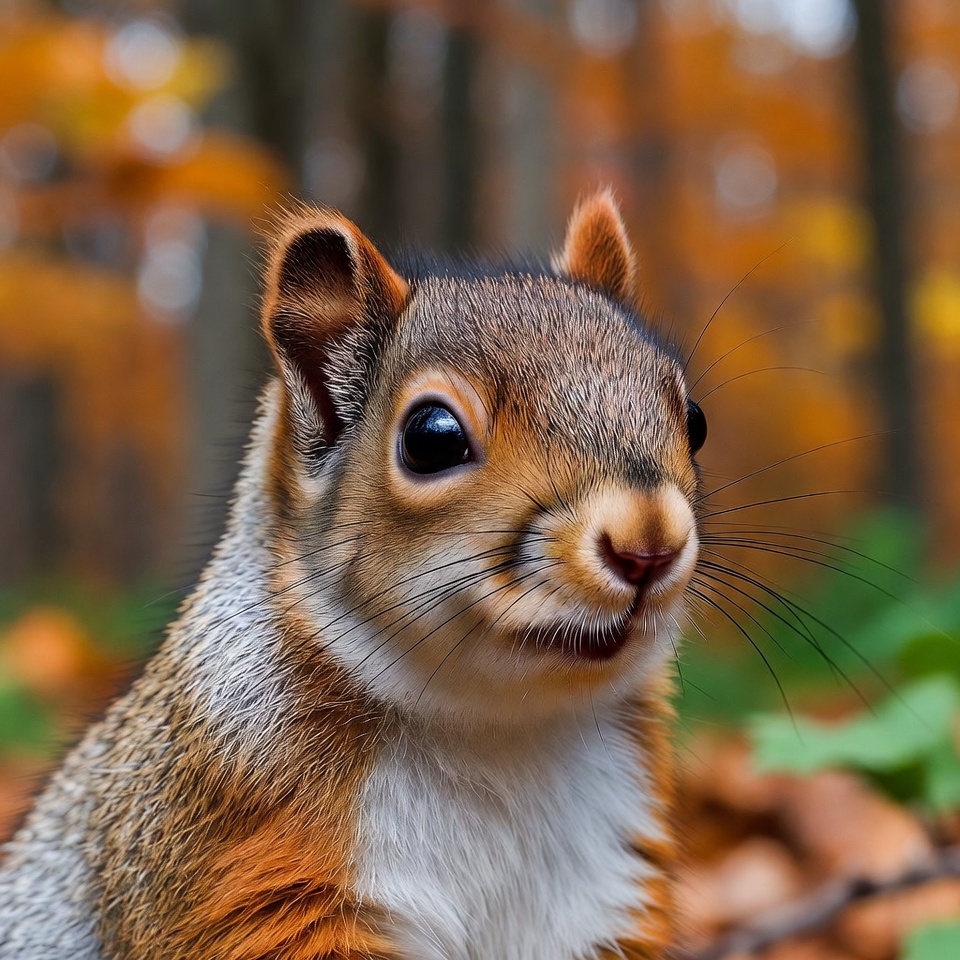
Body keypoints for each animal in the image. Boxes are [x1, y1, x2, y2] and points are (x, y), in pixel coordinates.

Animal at [0, 189, 706, 960]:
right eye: (432, 437)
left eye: (694, 419)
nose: (649, 543)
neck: (500, 733)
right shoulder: (228, 858)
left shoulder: (607, 889)